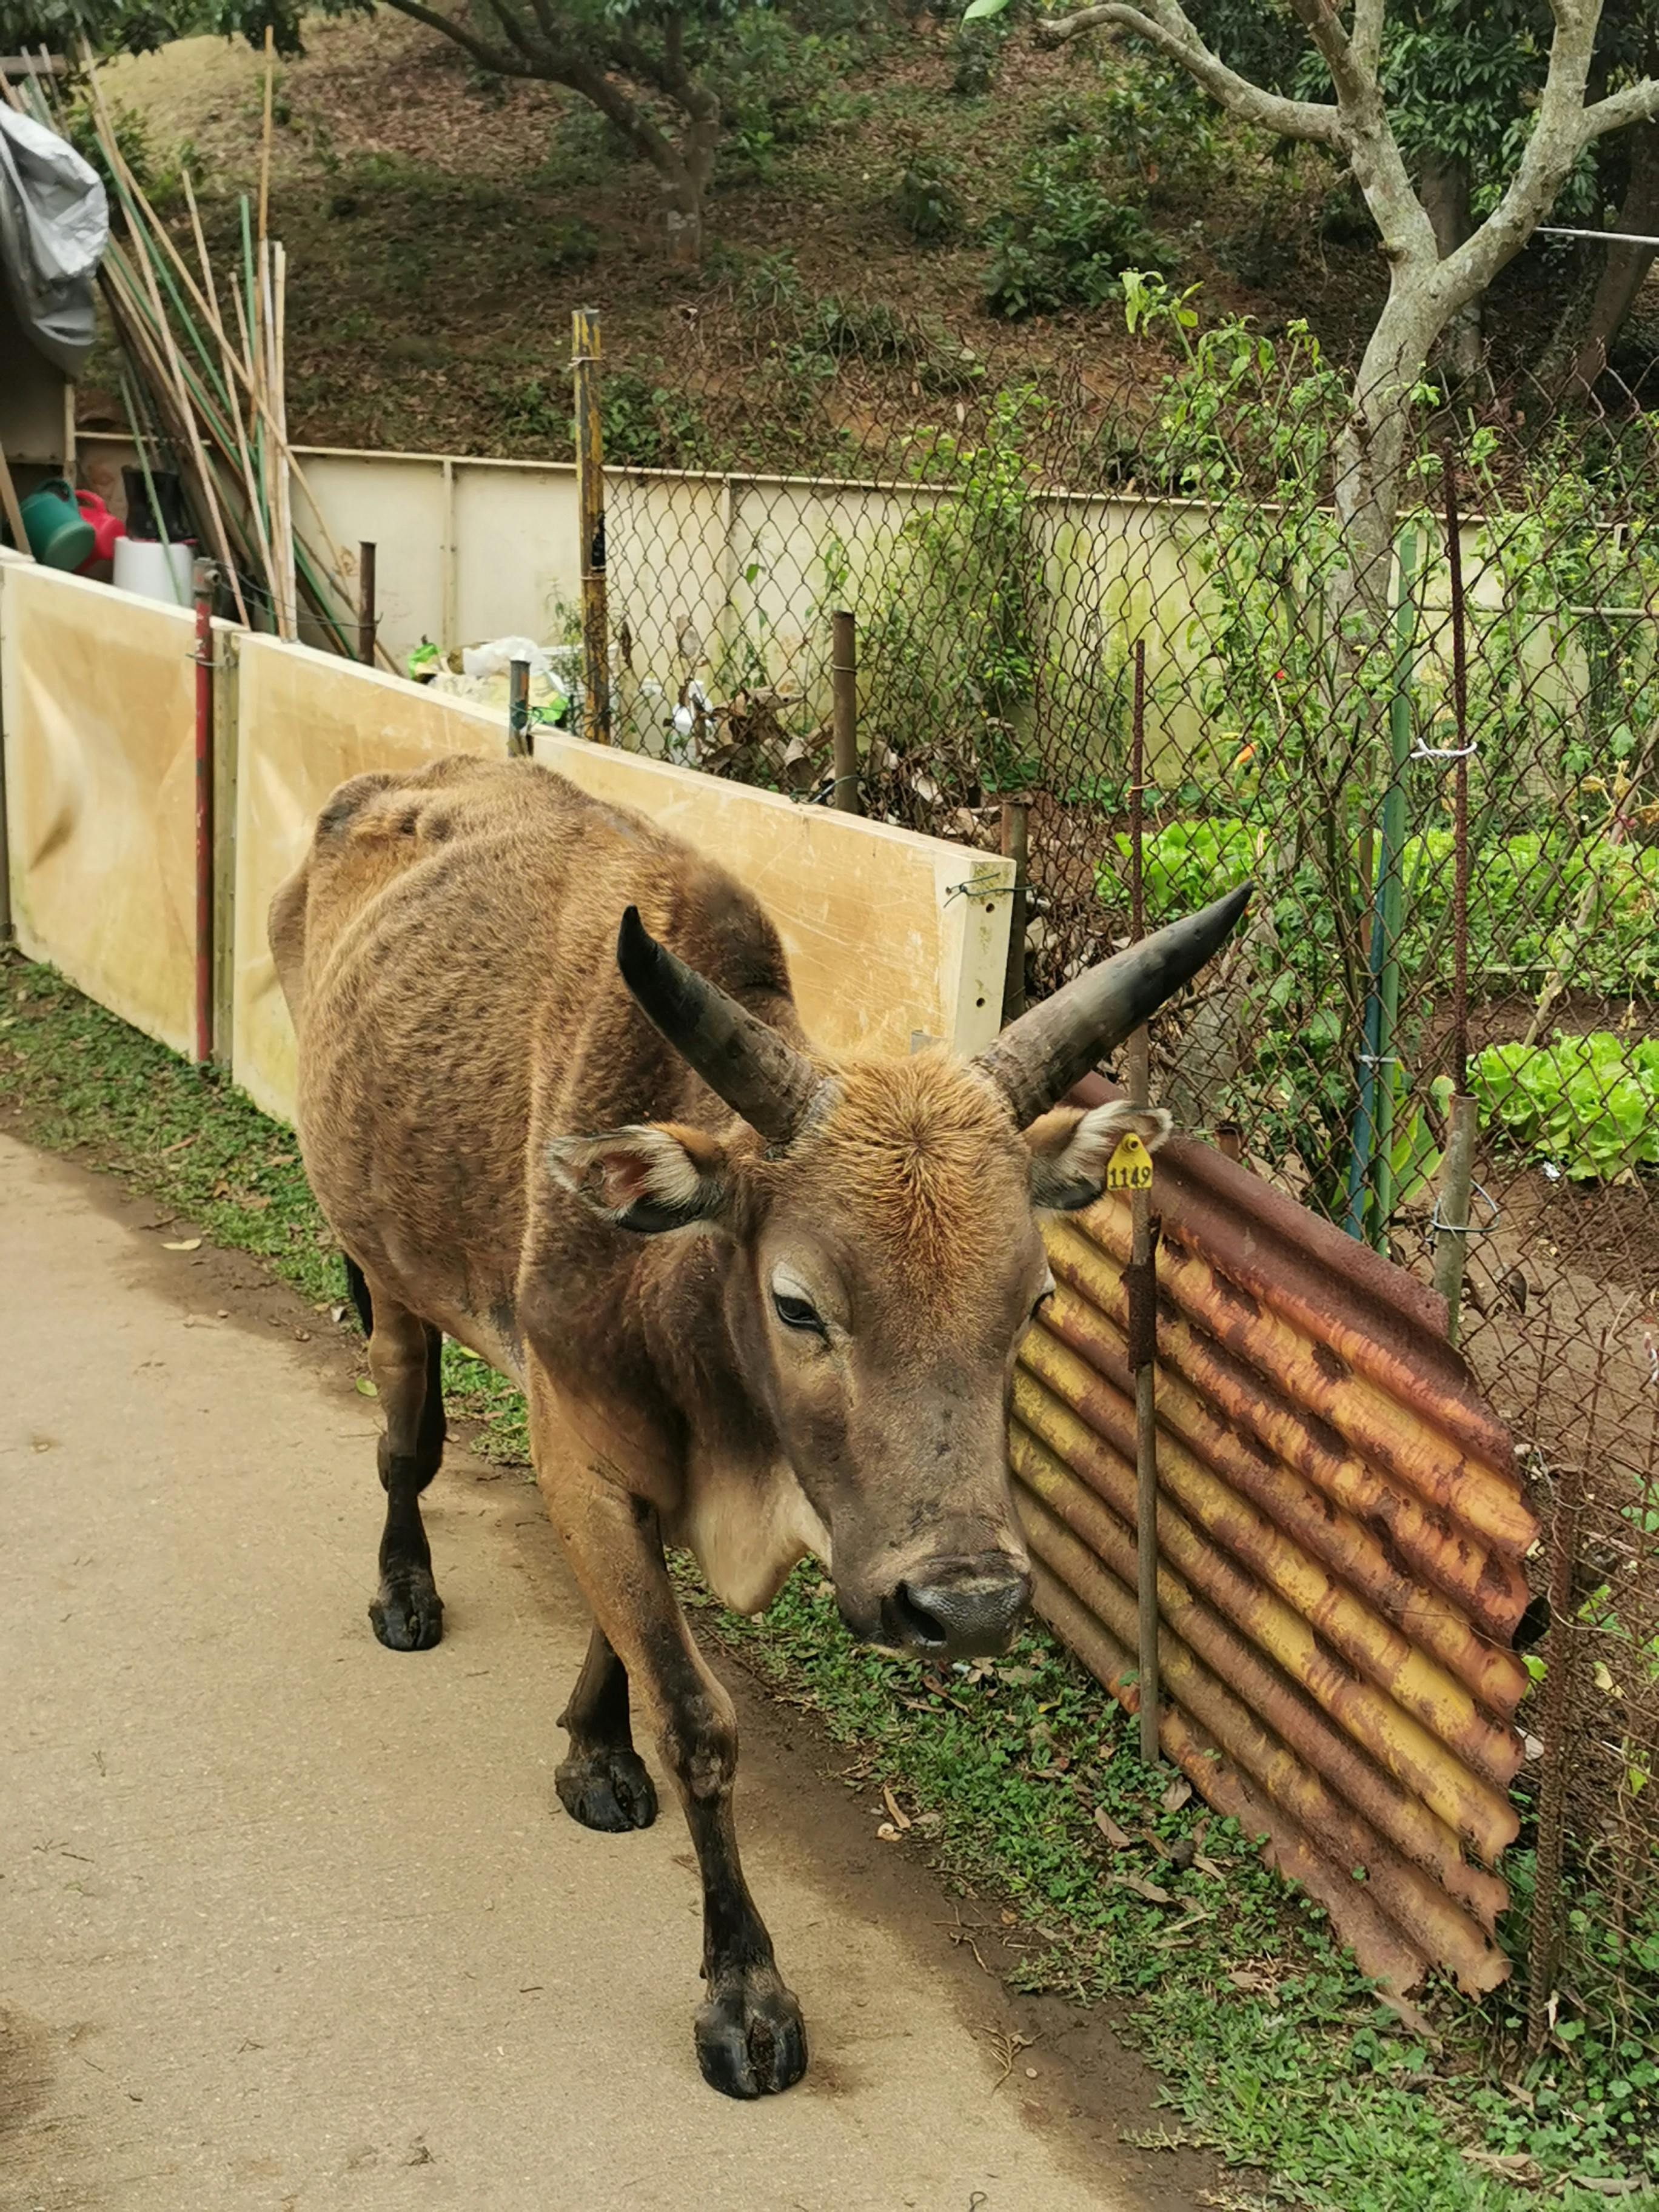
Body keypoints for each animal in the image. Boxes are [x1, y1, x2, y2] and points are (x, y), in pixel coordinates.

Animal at [269, 753, 1248, 2100]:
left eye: (1036, 1300)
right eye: (797, 1304)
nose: (968, 1605)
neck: (675, 1295)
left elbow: (627, 1638)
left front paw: (596, 1749)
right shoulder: (576, 1447)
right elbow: (699, 1720)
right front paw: (745, 1991)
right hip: (386, 1267)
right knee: (405, 1442)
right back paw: (404, 1587)